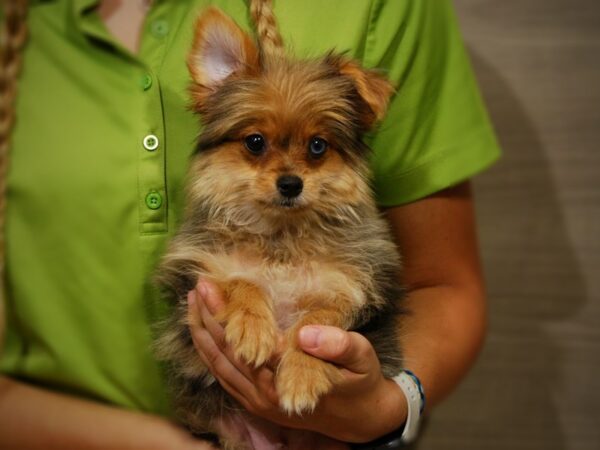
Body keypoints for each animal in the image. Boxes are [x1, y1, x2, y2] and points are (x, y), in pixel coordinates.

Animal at [157, 4, 406, 450]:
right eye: (255, 142)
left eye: (318, 146)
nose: (291, 184)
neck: (282, 240)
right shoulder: (197, 269)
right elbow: (242, 280)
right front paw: (252, 328)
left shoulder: (353, 287)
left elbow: (317, 320)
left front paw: (301, 377)